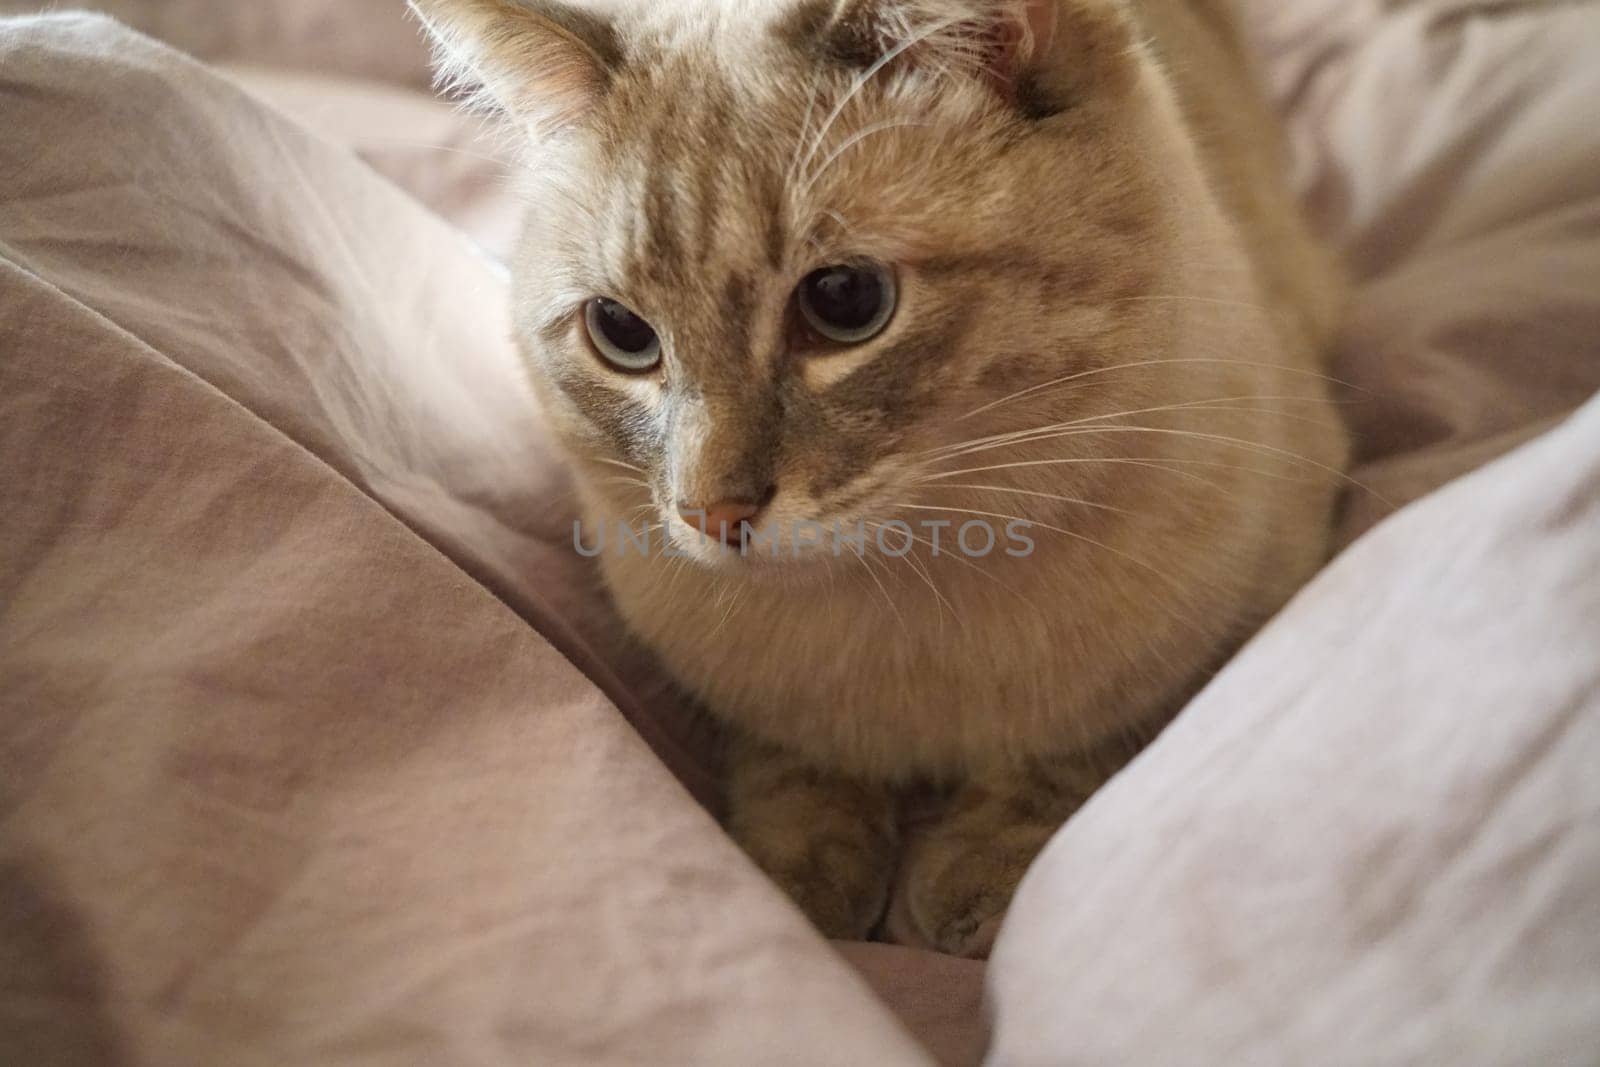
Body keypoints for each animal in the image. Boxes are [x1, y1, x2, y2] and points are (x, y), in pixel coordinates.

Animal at [412, 0, 1350, 959]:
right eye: (620, 332)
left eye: (846, 301)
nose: (712, 512)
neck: (906, 594)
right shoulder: (749, 706)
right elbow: (793, 769)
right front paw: (799, 887)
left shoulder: (1246, 608)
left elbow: (1082, 746)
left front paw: (973, 878)